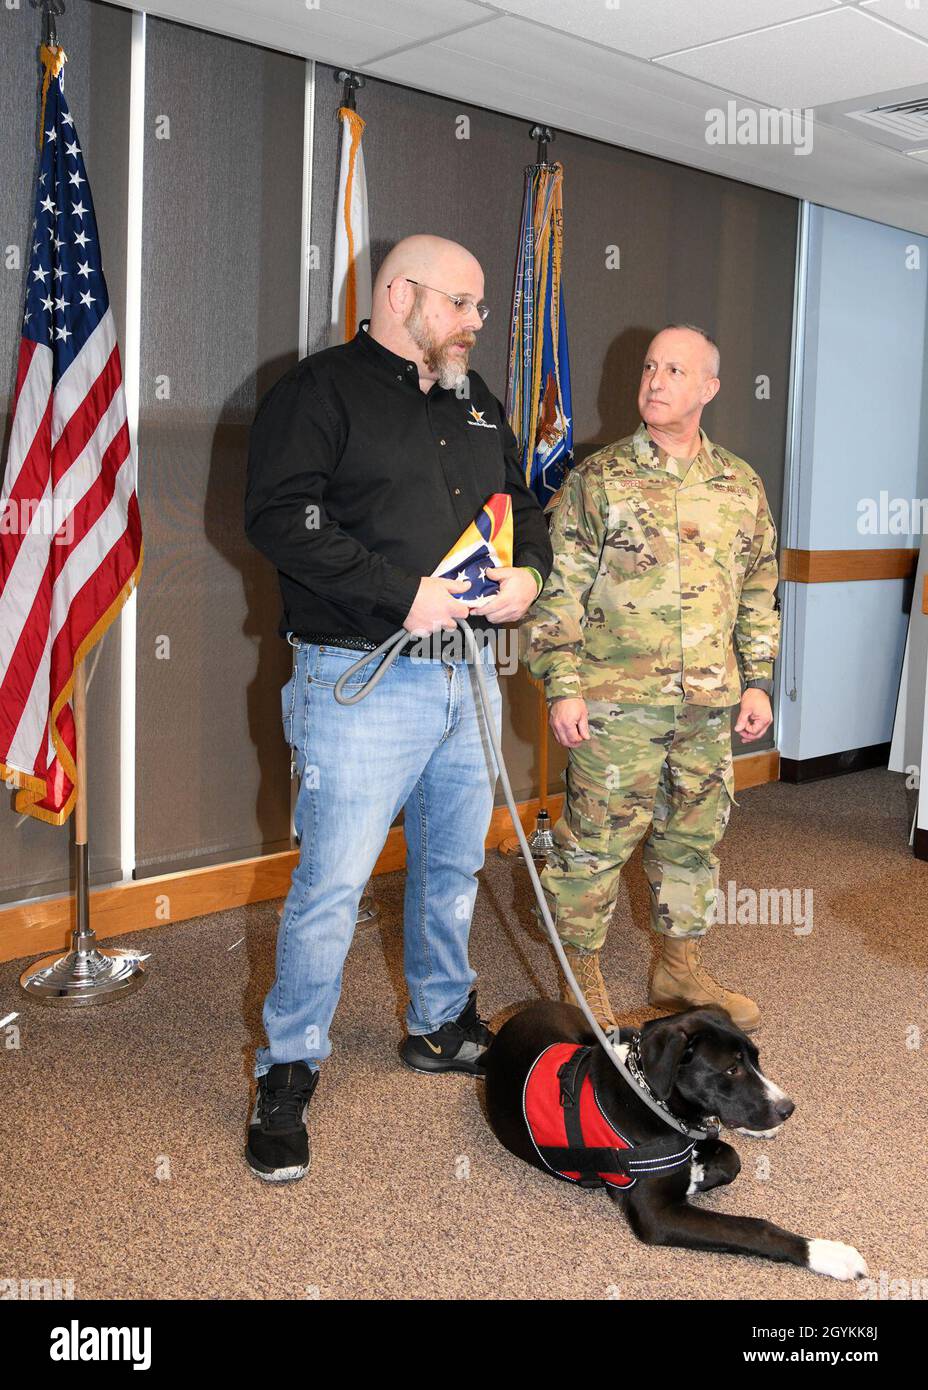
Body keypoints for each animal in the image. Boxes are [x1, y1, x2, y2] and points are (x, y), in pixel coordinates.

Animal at [483, 1000, 866, 1278]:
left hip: (592, 1035)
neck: (649, 1096)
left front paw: (702, 1168)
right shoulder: (657, 1215)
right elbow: (755, 1228)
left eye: (757, 1059)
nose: (788, 1109)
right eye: (731, 1069)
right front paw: (828, 1253)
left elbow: (731, 1158)